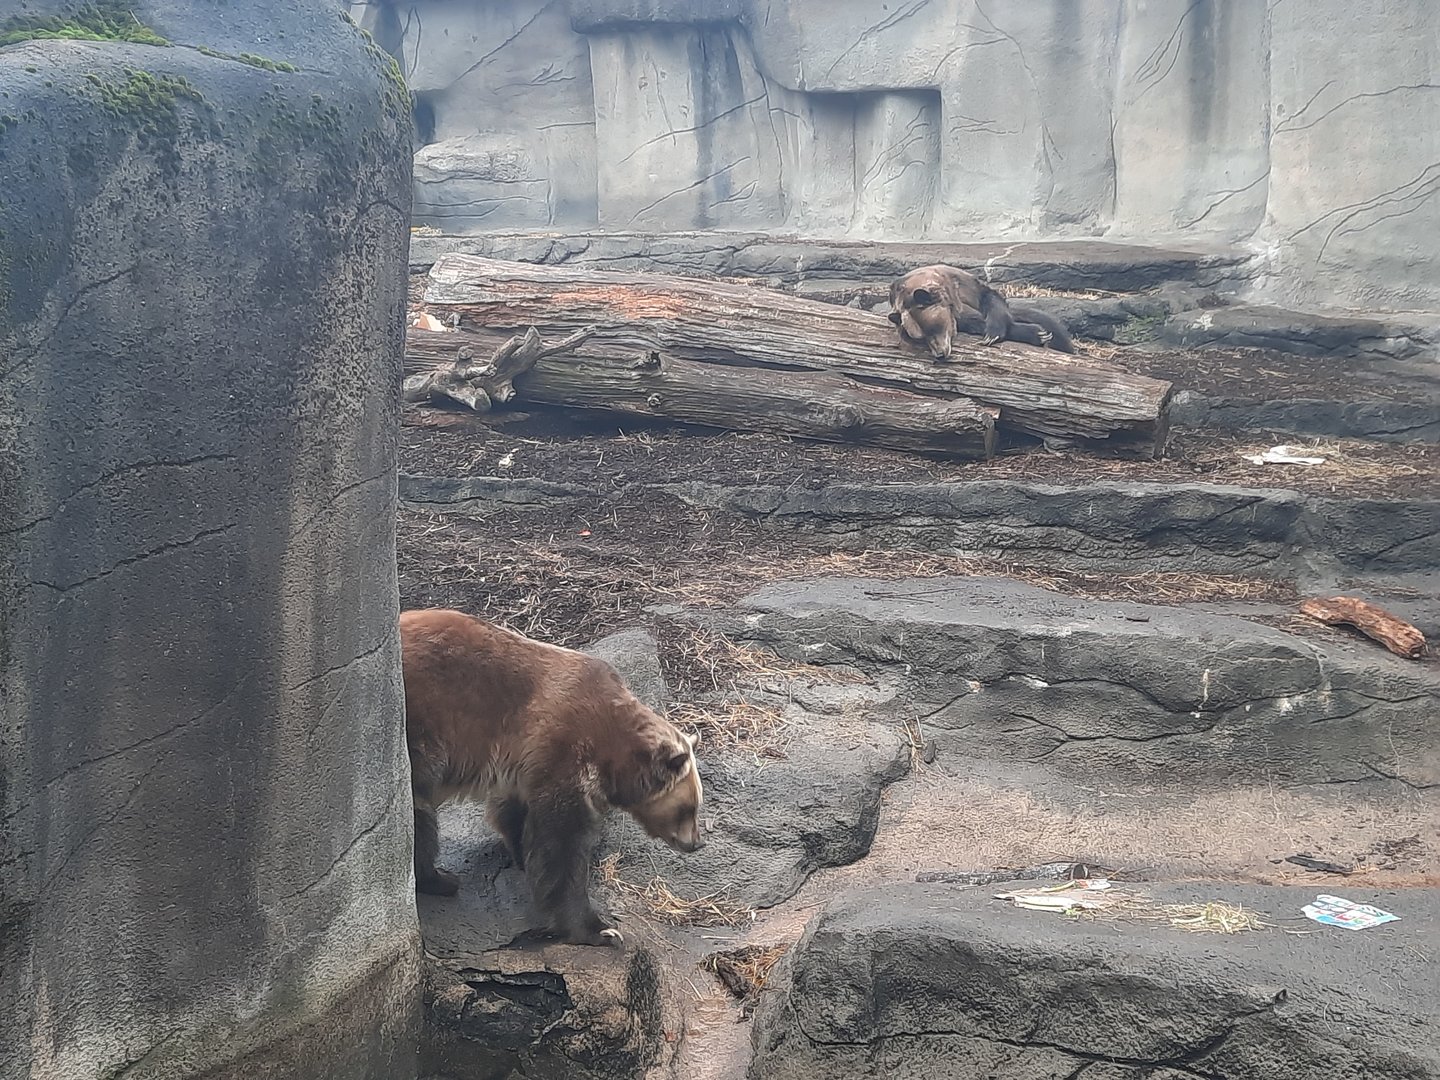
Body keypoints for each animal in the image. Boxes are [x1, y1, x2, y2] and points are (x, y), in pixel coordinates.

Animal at [400, 608, 704, 947]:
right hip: (416, 732)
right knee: (417, 816)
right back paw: (439, 879)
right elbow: (561, 842)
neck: (612, 746)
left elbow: (514, 815)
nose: (696, 842)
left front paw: (520, 855)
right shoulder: (564, 750)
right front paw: (599, 928)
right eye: (689, 807)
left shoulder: (522, 762)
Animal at [887, 264, 1074, 358]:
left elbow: (991, 300)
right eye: (919, 338)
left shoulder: (967, 286)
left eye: (933, 327)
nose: (939, 353)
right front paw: (1038, 334)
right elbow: (972, 321)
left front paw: (993, 334)